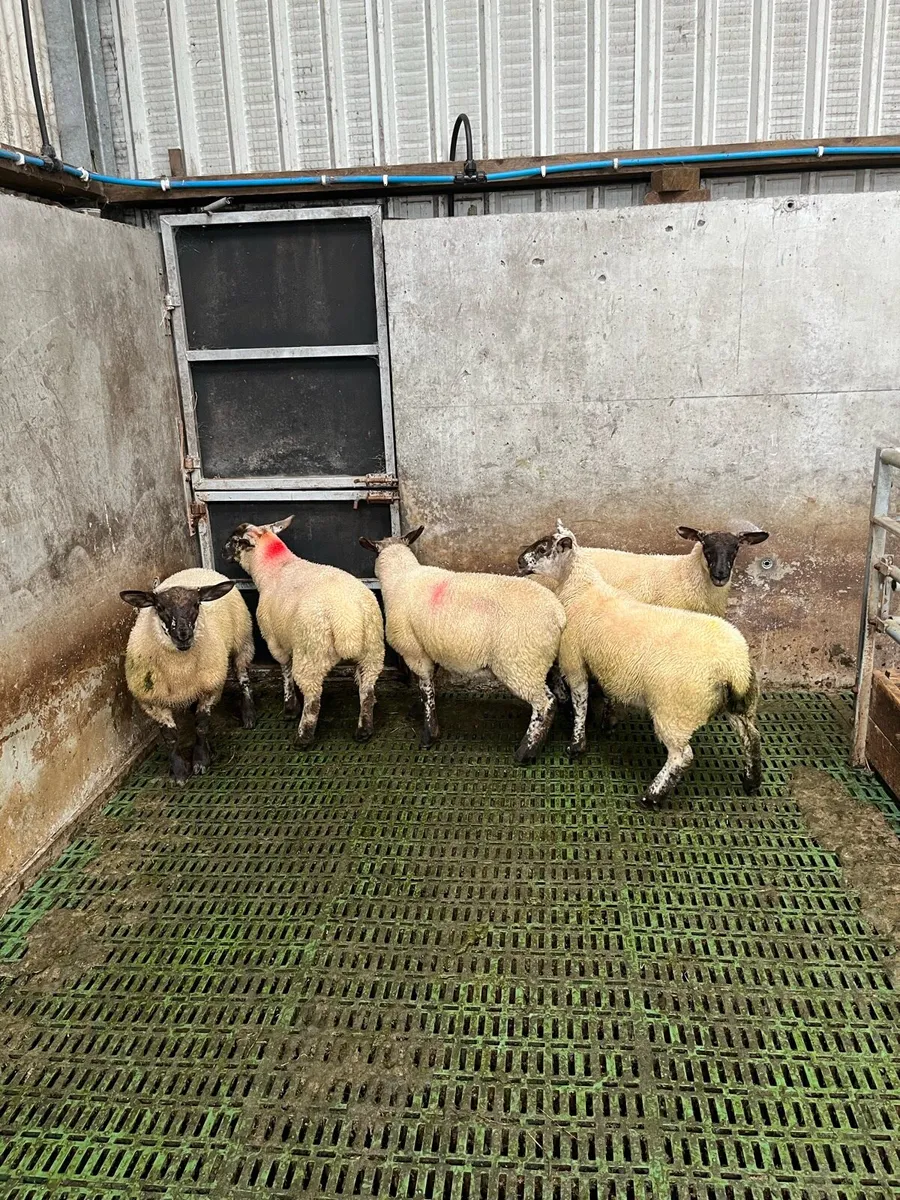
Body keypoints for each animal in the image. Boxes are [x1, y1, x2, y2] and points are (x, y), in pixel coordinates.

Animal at [120, 567, 255, 784]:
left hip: (242, 640)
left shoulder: (210, 689)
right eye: (159, 606)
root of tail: (198, 569)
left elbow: (201, 726)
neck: (179, 671)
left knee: (243, 678)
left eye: (196, 604)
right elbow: (170, 737)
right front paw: (179, 770)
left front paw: (200, 760)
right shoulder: (153, 701)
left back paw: (249, 715)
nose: (183, 634)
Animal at [224, 517, 384, 745]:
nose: (222, 553)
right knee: (367, 692)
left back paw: (304, 737)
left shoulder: (275, 640)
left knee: (313, 698)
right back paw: (364, 730)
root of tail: (347, 619)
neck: (275, 567)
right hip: (371, 652)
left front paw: (290, 707)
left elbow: (286, 670)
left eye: (234, 540)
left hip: (312, 652)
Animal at [359, 526, 566, 762]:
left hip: (521, 663)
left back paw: (525, 752)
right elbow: (429, 687)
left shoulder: (414, 652)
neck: (400, 576)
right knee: (558, 695)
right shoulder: (429, 650)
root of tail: (559, 615)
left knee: (545, 703)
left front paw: (429, 735)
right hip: (546, 661)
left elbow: (426, 689)